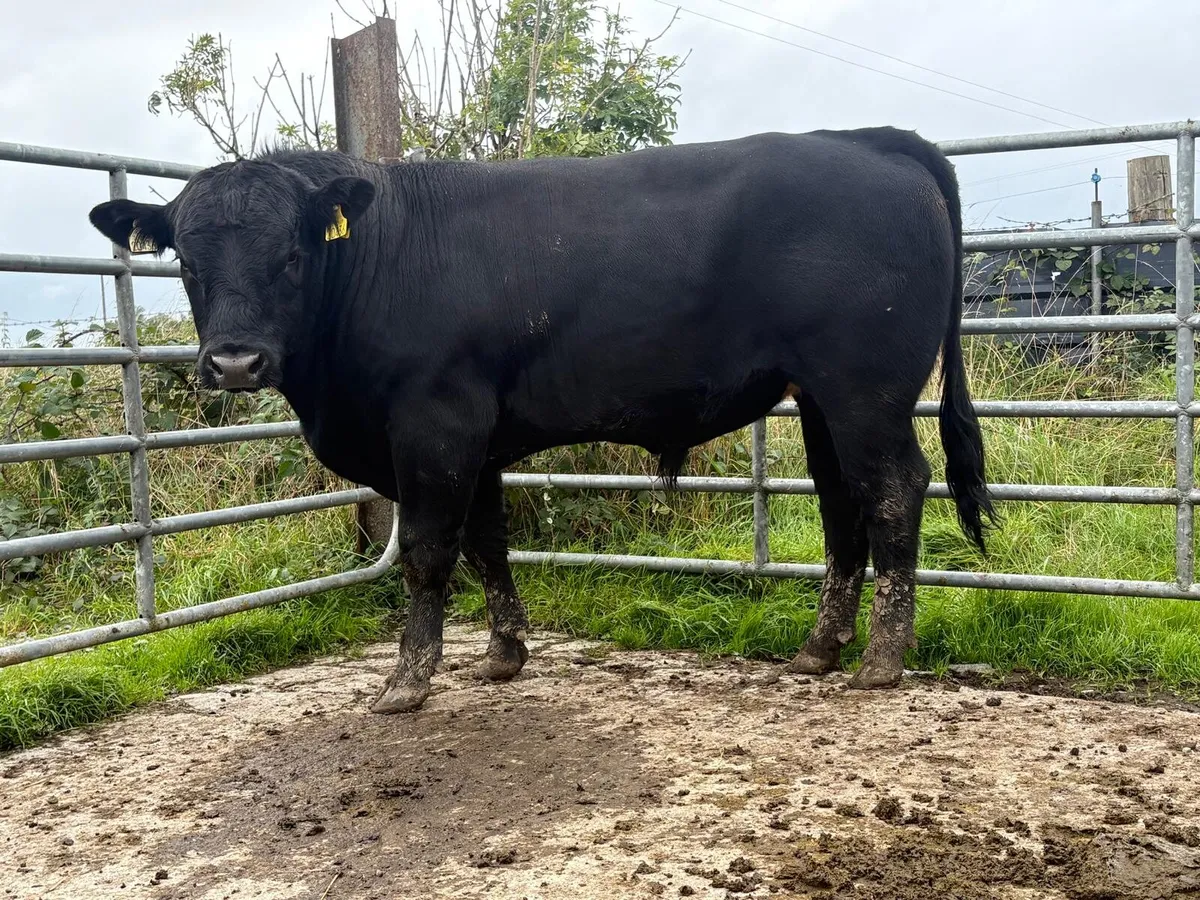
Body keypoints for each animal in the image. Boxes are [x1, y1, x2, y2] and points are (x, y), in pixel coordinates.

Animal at [88, 126, 996, 714]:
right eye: (187, 260)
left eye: (291, 254)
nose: (236, 363)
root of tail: (866, 141)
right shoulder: (476, 438)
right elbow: (488, 543)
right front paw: (503, 655)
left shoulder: (434, 424)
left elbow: (428, 553)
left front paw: (407, 680)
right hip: (819, 398)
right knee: (842, 505)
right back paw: (820, 649)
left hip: (864, 390)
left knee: (894, 491)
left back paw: (882, 660)